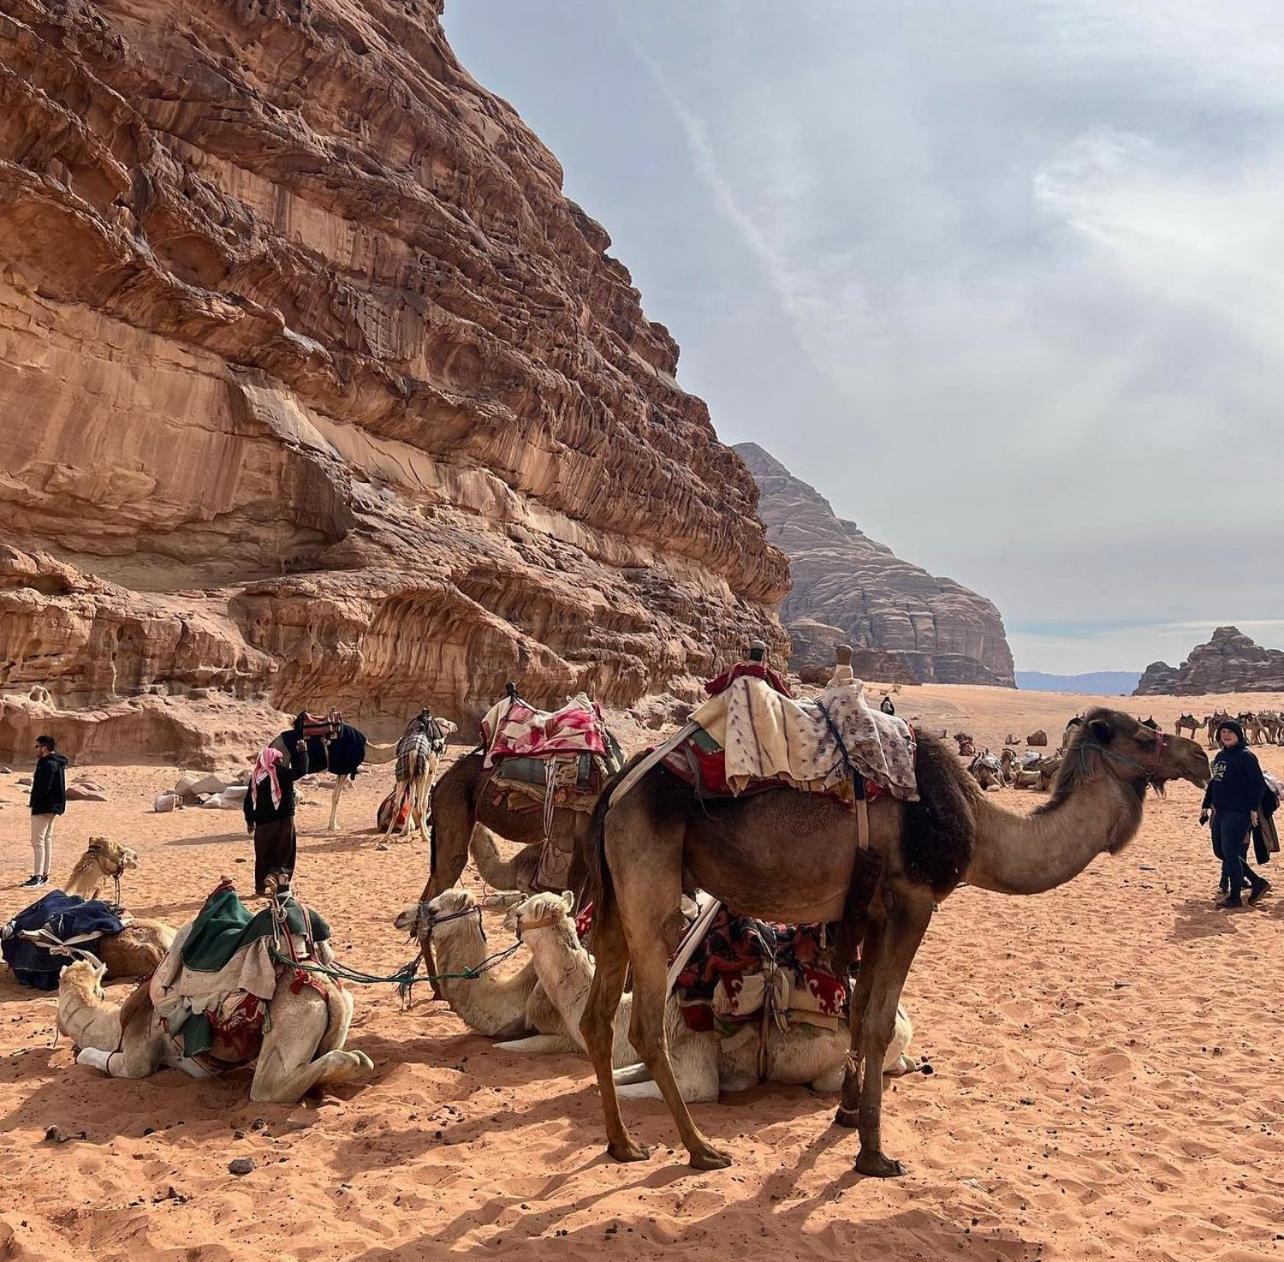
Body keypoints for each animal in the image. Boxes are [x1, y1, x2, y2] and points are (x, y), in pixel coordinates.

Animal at [58, 955, 374, 1104]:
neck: (116, 1025)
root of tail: (328, 988)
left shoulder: (139, 1057)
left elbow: (104, 1059)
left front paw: (81, 1054)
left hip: (289, 1027)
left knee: (269, 1087)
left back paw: (357, 1061)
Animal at [495, 888, 919, 1104]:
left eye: (524, 910)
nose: (505, 914)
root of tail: (906, 1024)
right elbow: (615, 1076)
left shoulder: (697, 1073)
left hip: (832, 1073)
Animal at [577, 708, 1206, 1175]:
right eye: (1144, 735)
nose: (1201, 758)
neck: (981, 828)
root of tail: (616, 786)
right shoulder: (913, 900)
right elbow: (880, 1022)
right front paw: (875, 1156)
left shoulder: (876, 912)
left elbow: (858, 1017)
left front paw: (849, 1115)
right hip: (651, 889)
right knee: (644, 1024)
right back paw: (701, 1150)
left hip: (617, 898)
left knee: (596, 1017)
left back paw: (622, 1145)